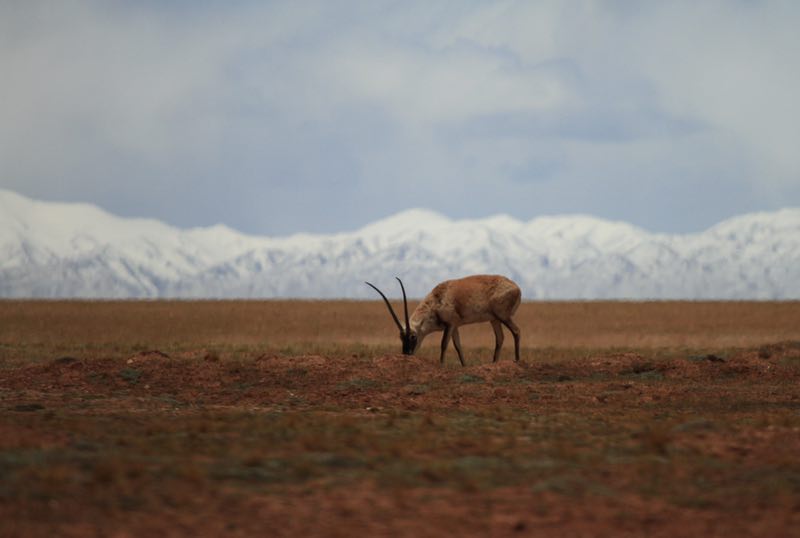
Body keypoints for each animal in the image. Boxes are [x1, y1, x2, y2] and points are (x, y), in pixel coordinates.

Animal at [366, 272, 520, 364]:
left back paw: (517, 361)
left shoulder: (450, 325)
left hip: (503, 316)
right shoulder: (455, 326)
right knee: (500, 338)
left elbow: (444, 344)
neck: (437, 299)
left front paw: (441, 365)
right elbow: (458, 346)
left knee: (516, 331)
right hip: (494, 320)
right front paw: (464, 366)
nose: (407, 354)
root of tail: (516, 288)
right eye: (401, 337)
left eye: (413, 336)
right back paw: (494, 363)